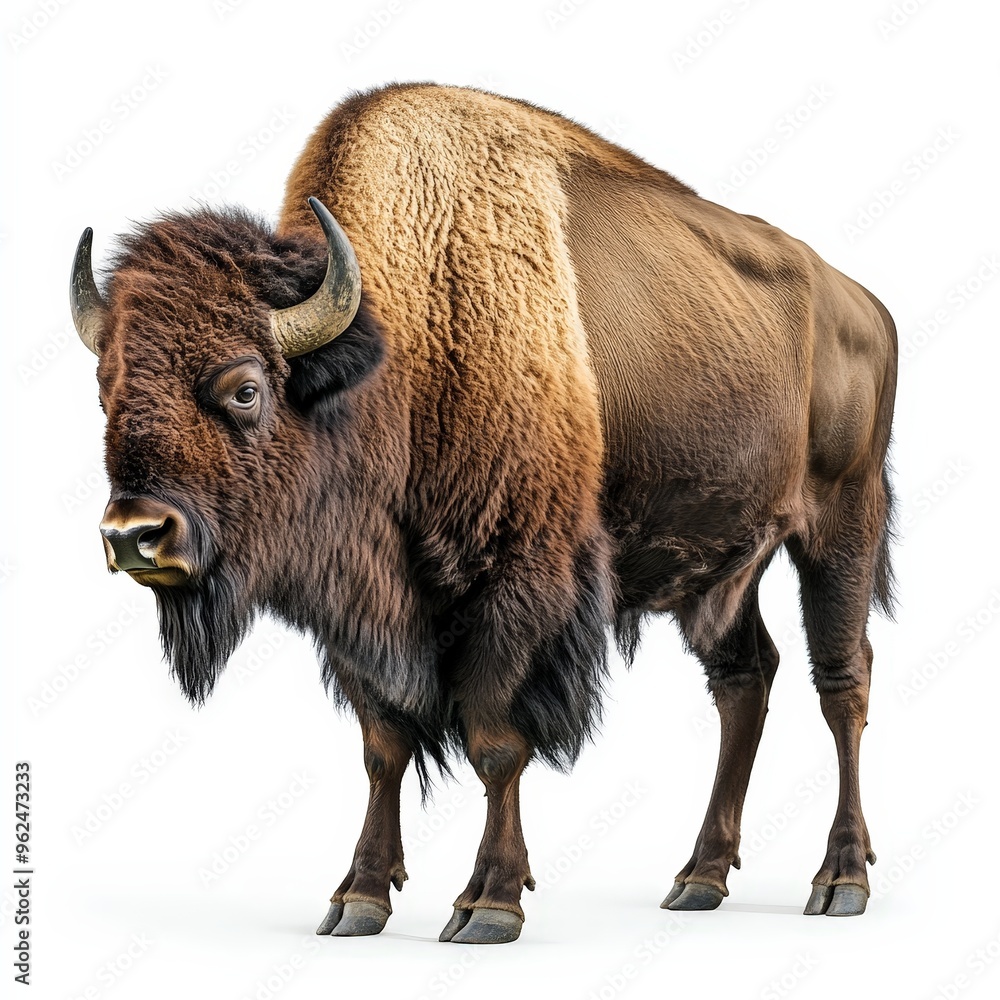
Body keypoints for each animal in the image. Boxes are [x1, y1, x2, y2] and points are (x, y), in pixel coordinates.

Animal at [71, 83, 896, 943]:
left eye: (244, 389)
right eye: (105, 392)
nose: (134, 536)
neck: (398, 354)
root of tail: (865, 306)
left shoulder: (517, 587)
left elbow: (496, 742)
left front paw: (488, 904)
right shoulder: (368, 610)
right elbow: (384, 744)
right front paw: (358, 898)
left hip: (842, 526)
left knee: (843, 680)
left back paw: (840, 881)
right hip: (720, 563)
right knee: (745, 678)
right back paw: (699, 877)